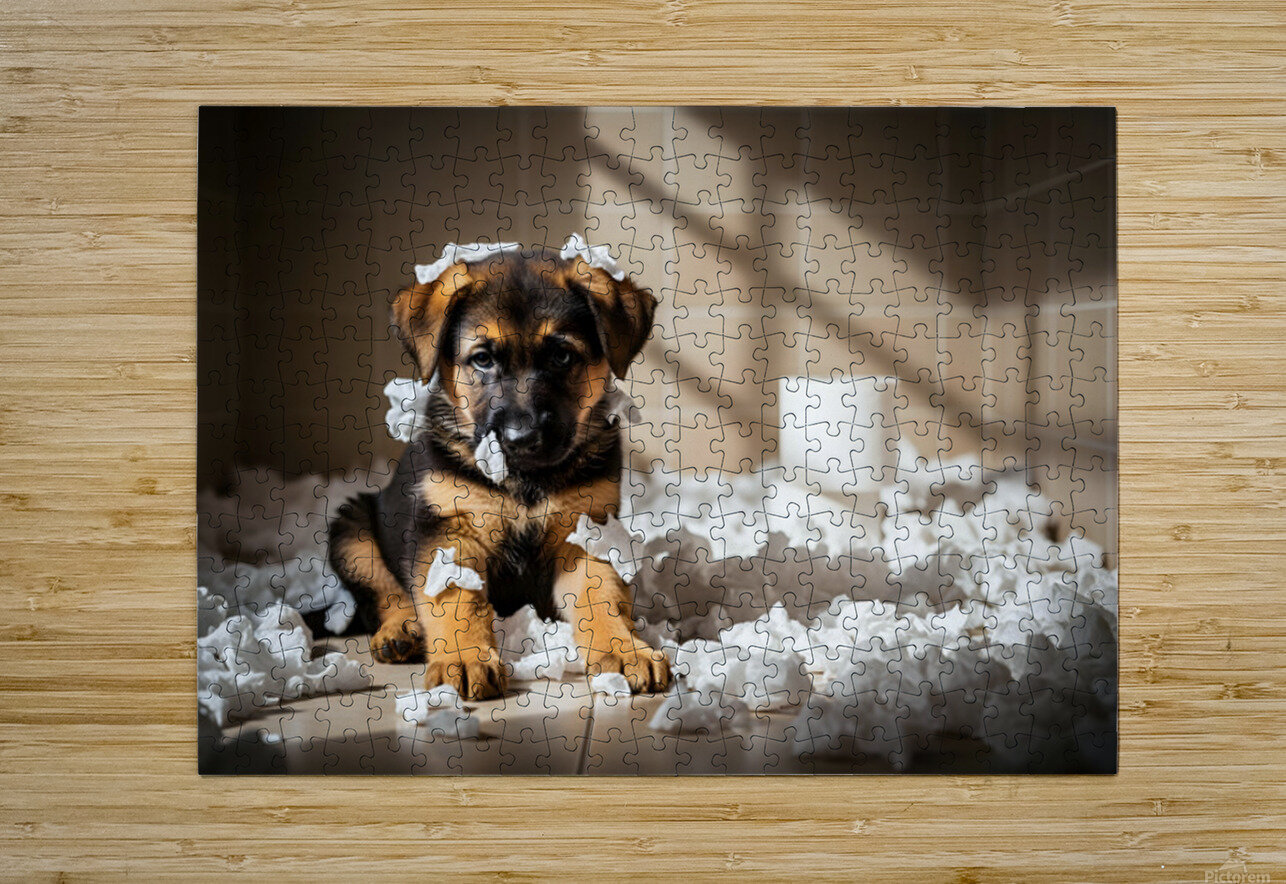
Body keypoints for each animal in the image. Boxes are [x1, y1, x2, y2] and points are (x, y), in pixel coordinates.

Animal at [328, 245, 672, 700]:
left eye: (562, 356)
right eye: (482, 359)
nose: (521, 438)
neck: (525, 481)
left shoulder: (587, 531)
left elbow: (602, 596)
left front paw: (624, 649)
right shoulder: (449, 532)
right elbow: (454, 600)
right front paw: (463, 658)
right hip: (352, 529)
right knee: (382, 594)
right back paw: (400, 631)